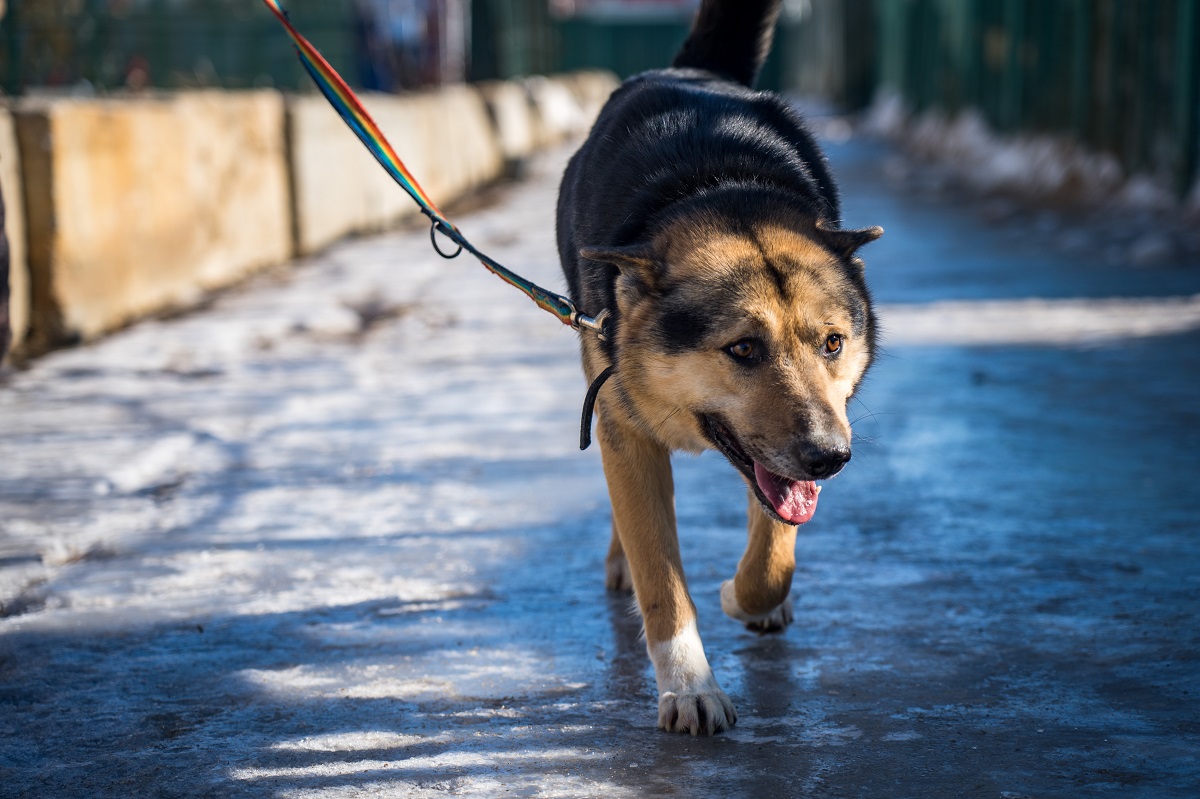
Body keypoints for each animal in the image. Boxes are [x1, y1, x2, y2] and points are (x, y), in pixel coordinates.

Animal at [556, 0, 888, 734]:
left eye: (832, 344)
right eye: (742, 349)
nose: (831, 457)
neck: (718, 189)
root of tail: (693, 72)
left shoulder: (789, 460)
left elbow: (774, 551)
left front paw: (747, 595)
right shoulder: (626, 426)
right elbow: (660, 577)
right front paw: (690, 687)